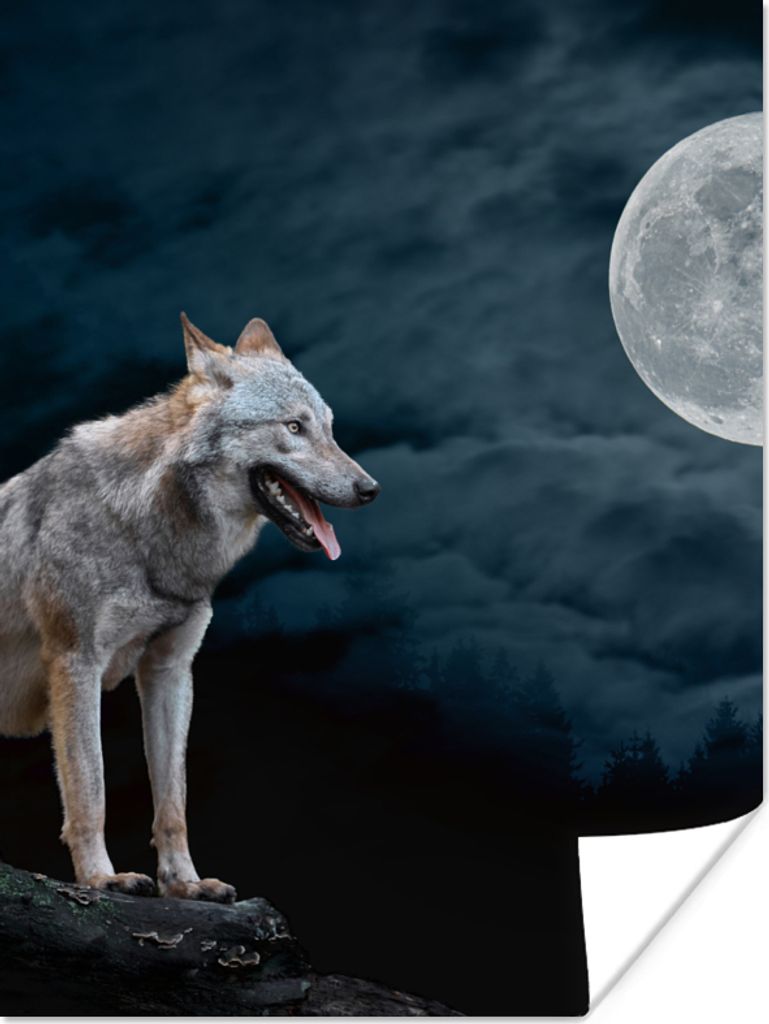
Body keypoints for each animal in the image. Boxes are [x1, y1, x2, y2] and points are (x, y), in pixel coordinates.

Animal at [0, 315, 379, 901]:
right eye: (294, 427)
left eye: (329, 429)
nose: (370, 488)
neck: (144, 529)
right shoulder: (75, 664)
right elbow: (91, 790)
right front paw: (101, 878)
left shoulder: (170, 670)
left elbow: (173, 801)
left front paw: (186, 884)